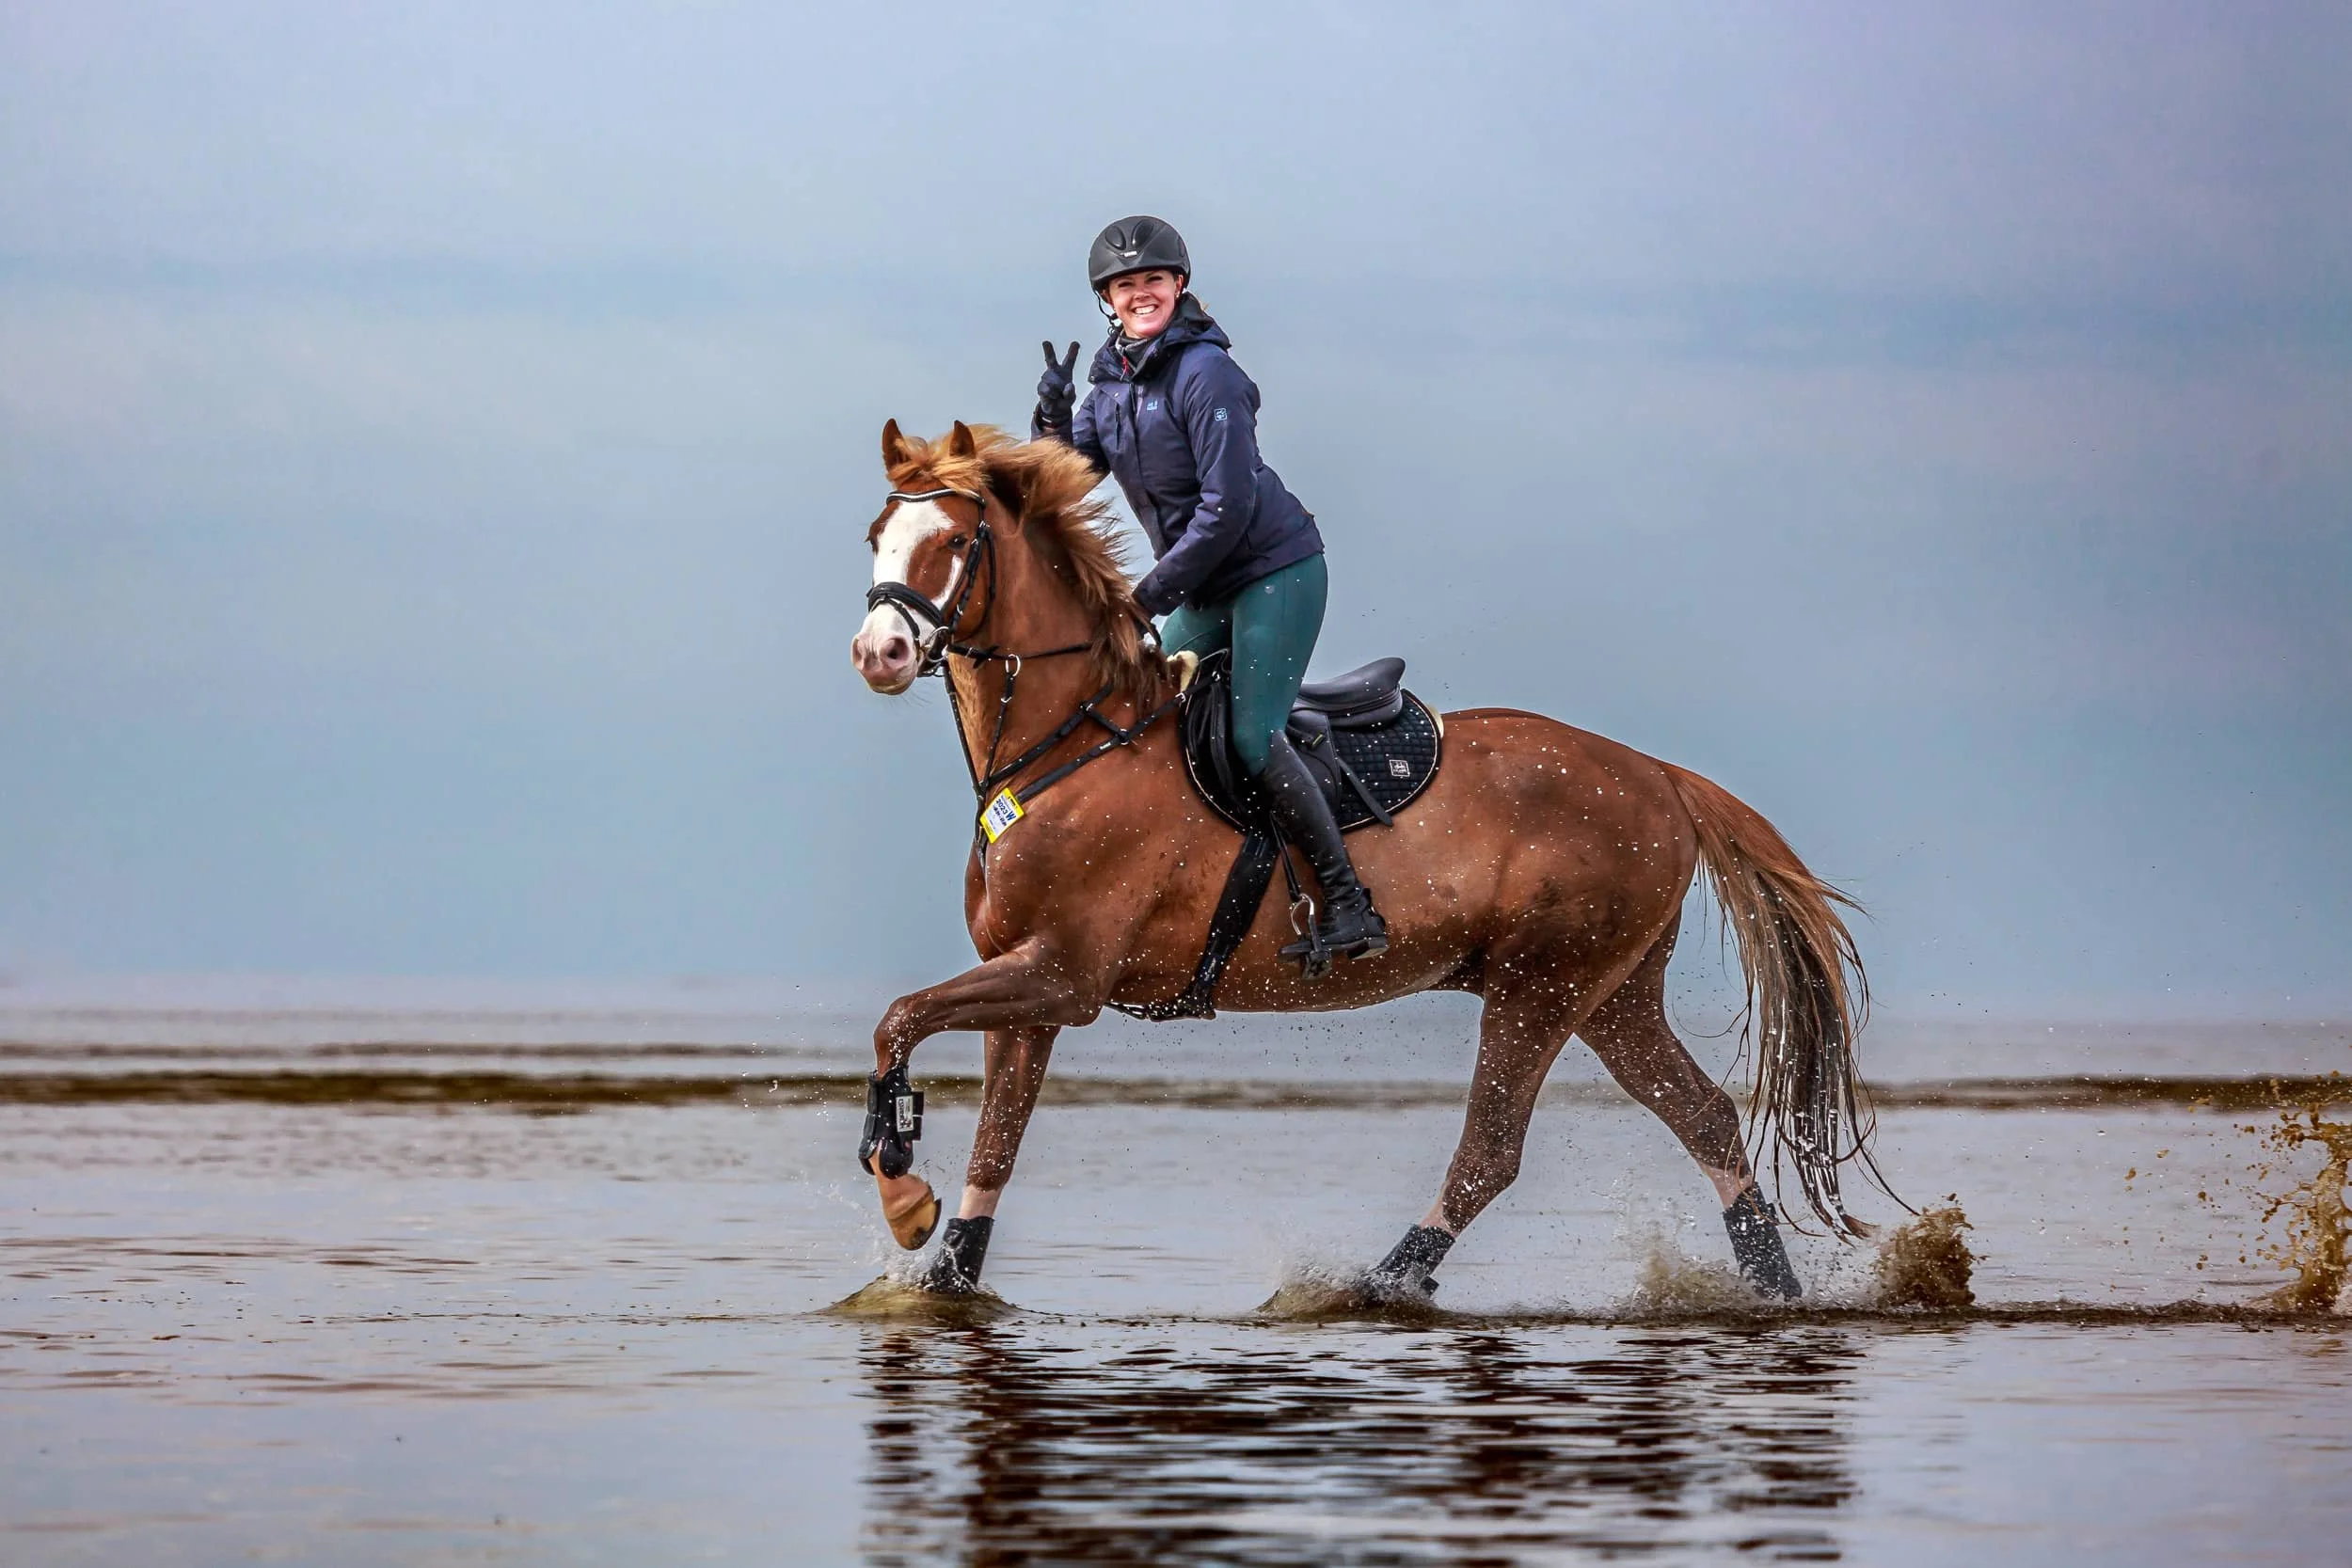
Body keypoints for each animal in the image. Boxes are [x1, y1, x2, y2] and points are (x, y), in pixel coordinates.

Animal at [846, 419, 1886, 1303]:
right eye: (877, 534)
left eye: (952, 541)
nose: (878, 651)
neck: (1071, 747)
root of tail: (1660, 775)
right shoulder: (1024, 987)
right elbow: (994, 1139)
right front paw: (944, 1268)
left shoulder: (1063, 976)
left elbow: (898, 1019)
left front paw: (901, 1192)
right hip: (1612, 993)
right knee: (1703, 1115)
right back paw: (1774, 1290)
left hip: (1540, 985)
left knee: (1490, 1150)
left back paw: (1370, 1286)